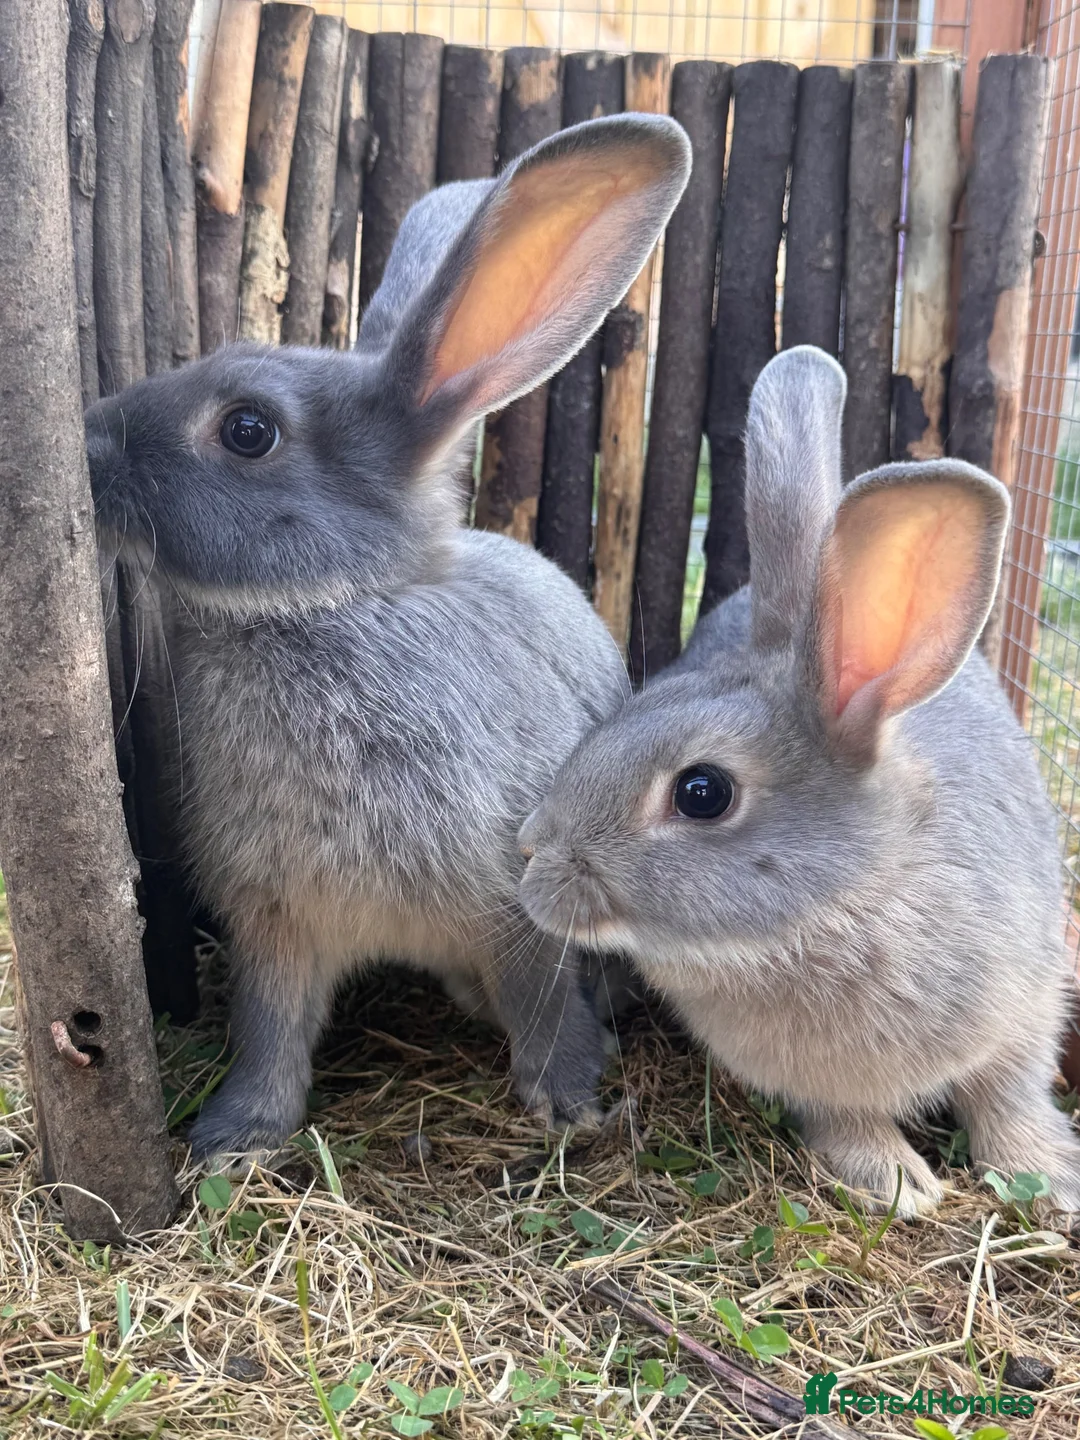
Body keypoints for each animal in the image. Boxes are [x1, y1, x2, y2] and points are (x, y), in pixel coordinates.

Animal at [84, 115, 692, 1162]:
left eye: (249, 430)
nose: (87, 438)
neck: (330, 604)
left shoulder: (522, 899)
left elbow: (544, 1008)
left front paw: (571, 1103)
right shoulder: (272, 924)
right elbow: (270, 1030)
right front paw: (235, 1137)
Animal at [519, 344, 1080, 1221]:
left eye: (703, 793)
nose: (531, 855)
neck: (851, 902)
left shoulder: (1030, 1006)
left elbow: (1010, 1095)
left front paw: (1050, 1179)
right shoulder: (815, 1083)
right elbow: (847, 1119)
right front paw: (896, 1181)